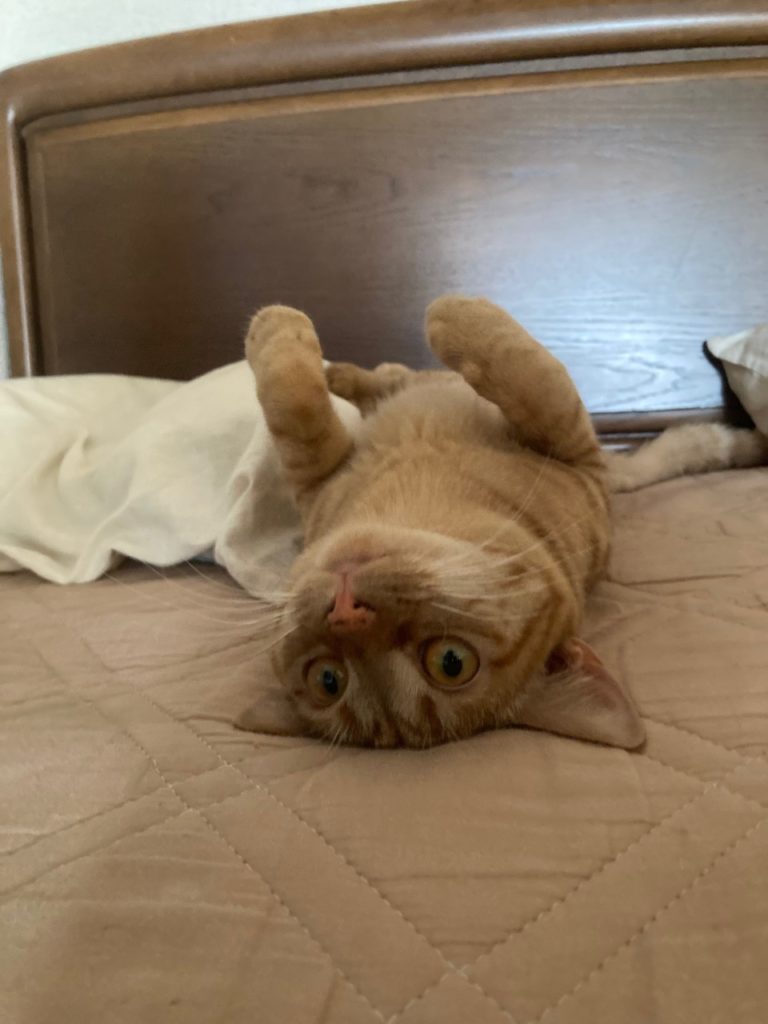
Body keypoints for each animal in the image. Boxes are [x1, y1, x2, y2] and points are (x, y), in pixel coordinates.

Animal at [239, 296, 767, 750]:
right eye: (328, 679)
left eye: (451, 663)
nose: (346, 611)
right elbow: (300, 413)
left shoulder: (574, 448)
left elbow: (529, 375)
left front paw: (451, 314)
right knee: (387, 377)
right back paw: (342, 373)